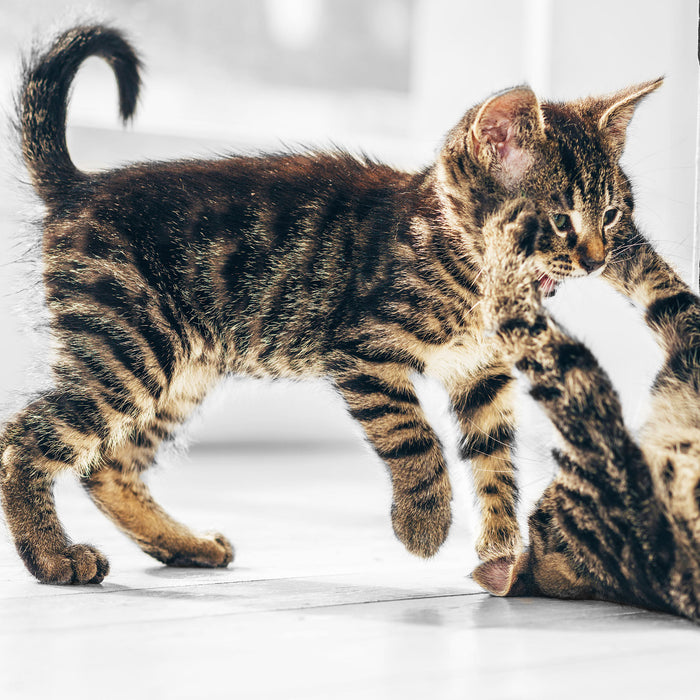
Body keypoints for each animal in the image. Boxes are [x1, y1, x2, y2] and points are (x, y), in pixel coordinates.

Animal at [1, 24, 660, 584]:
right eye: (559, 221)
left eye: (611, 214)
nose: (597, 258)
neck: (469, 274)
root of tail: (79, 187)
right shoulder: (363, 349)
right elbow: (413, 436)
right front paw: (424, 524)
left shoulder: (483, 376)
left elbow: (496, 463)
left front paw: (500, 552)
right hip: (129, 346)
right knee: (25, 437)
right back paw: (53, 556)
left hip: (182, 370)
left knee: (106, 467)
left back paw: (185, 545)